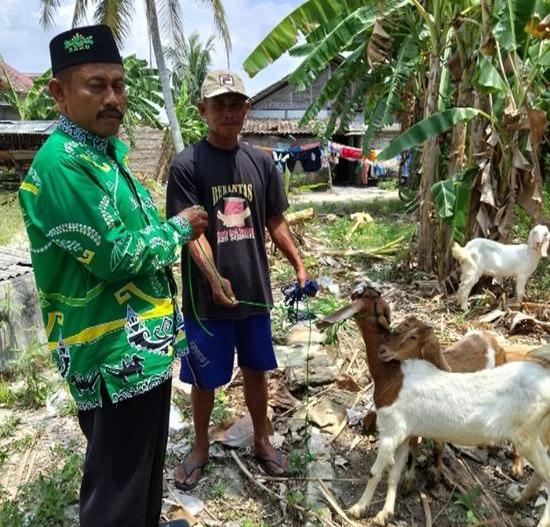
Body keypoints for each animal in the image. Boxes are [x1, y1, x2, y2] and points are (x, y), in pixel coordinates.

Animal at [322, 284, 548, 527]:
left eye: (361, 297)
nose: (383, 351)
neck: (394, 375)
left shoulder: (391, 431)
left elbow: (375, 472)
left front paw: (357, 508)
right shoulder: (405, 433)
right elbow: (395, 473)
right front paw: (385, 513)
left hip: (526, 436)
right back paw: (520, 499)